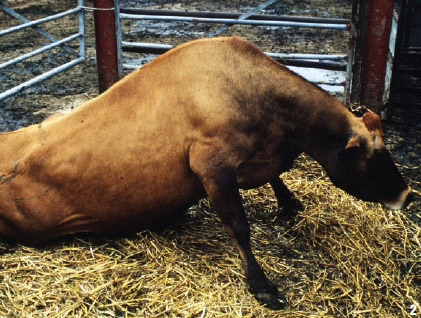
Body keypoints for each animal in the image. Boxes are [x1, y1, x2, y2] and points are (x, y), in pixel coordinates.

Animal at [0, 36, 410, 308]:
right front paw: (261, 284)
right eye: (372, 158)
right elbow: (238, 226)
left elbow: (276, 178)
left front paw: (290, 202)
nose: (407, 196)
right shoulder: (210, 163)